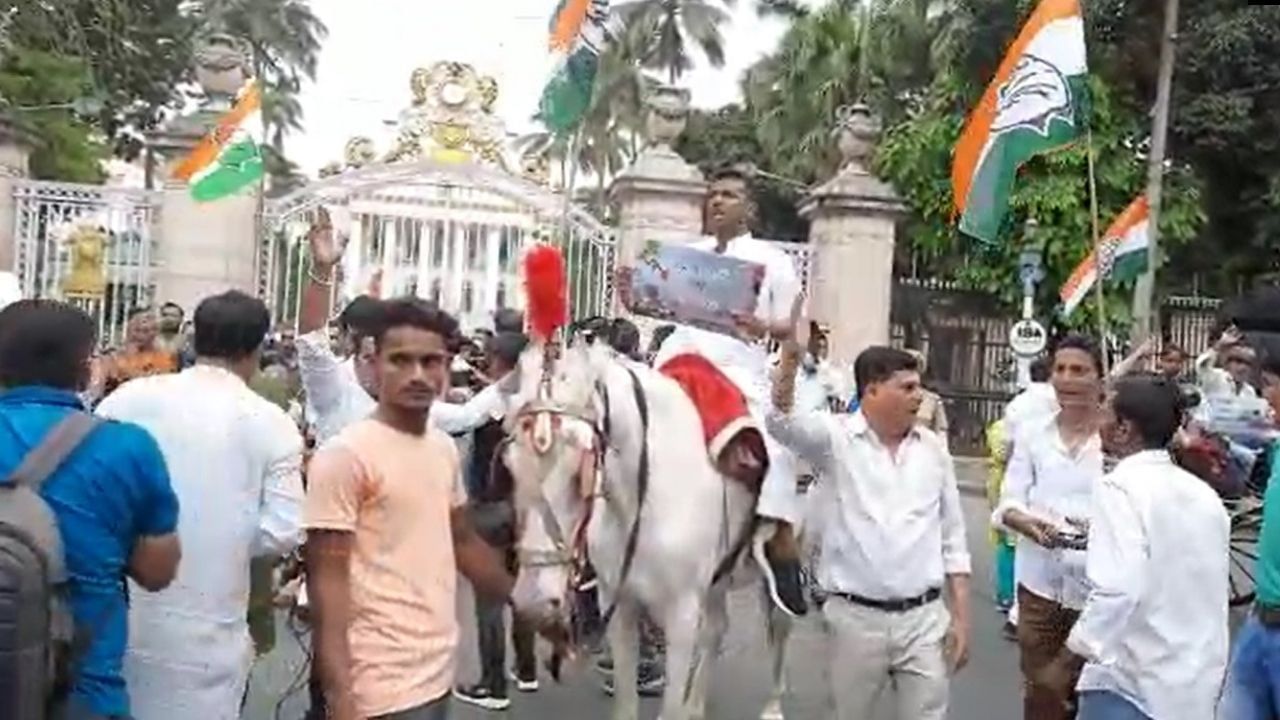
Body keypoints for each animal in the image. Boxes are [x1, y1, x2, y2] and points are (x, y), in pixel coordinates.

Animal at [501, 338, 793, 717]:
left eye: (580, 470)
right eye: (509, 463)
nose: (533, 603)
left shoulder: (682, 615)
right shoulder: (620, 604)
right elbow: (627, 700)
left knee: (780, 626)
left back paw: (772, 704)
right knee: (717, 629)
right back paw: (696, 704)